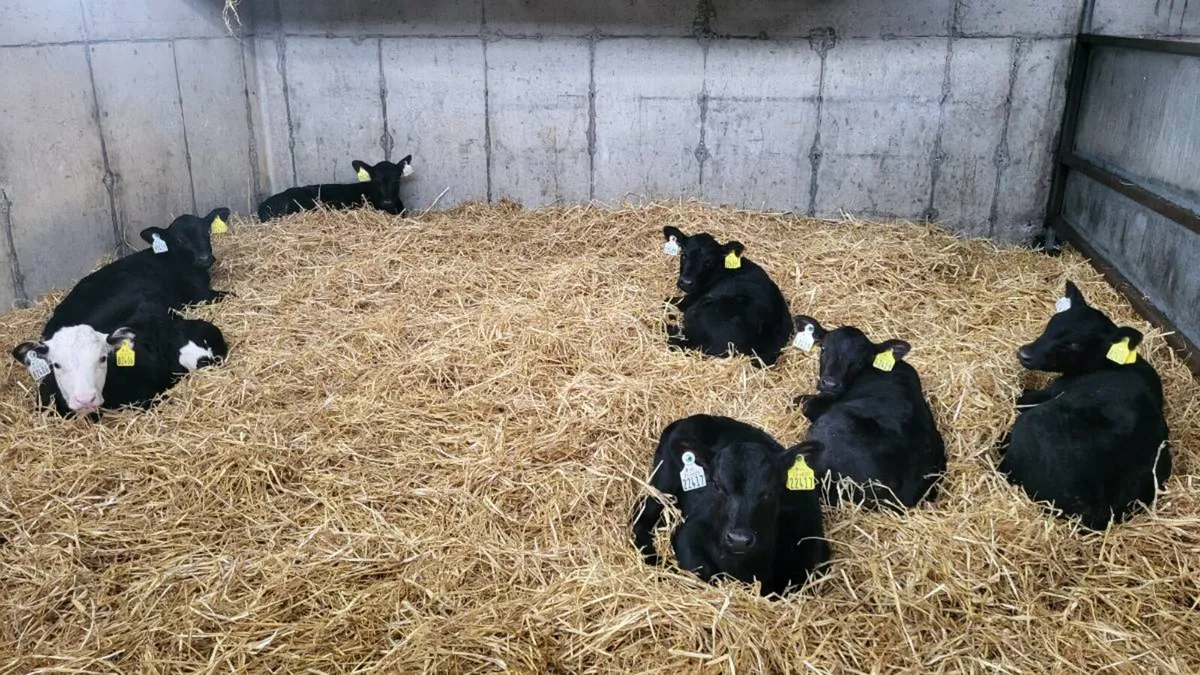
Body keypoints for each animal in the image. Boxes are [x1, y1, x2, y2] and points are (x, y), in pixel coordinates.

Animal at [631, 414, 829, 597]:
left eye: (770, 490)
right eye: (716, 485)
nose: (739, 540)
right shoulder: (689, 534)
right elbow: (703, 572)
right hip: (662, 484)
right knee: (640, 520)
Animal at [998, 280, 1171, 530]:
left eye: (1075, 344)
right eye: (1052, 323)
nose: (1025, 354)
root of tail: (1096, 510)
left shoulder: (1045, 393)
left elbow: (1021, 398)